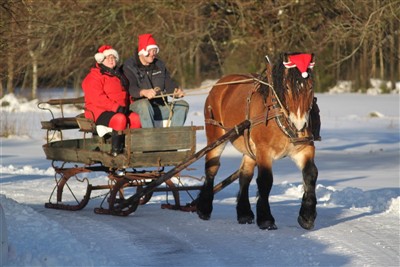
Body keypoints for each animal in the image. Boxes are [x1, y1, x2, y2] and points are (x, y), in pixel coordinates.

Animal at [197, 52, 318, 230]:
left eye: (310, 87)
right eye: (287, 88)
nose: (300, 124)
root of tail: (220, 84)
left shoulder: (304, 149)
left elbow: (310, 174)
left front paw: (307, 216)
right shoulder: (263, 151)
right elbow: (266, 181)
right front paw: (266, 219)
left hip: (249, 149)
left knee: (245, 175)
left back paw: (244, 213)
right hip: (215, 136)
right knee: (211, 169)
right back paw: (204, 208)